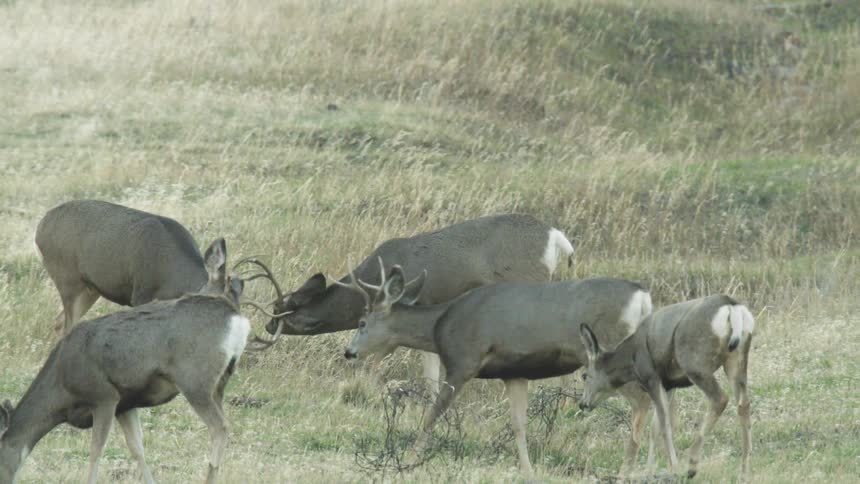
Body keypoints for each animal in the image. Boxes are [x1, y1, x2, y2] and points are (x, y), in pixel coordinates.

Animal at [0, 238, 286, 484]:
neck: (61, 388)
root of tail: (235, 316)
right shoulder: (125, 403)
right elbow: (137, 449)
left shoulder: (103, 396)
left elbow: (96, 451)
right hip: (220, 383)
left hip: (195, 380)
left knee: (220, 427)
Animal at [35, 200, 216, 335]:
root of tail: (39, 228)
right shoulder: (141, 295)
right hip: (67, 279)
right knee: (67, 327)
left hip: (90, 288)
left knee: (58, 323)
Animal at [337, 262, 654, 475]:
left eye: (362, 323)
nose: (349, 352)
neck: (440, 325)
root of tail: (642, 297)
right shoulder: (514, 373)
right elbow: (518, 424)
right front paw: (528, 471)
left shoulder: (463, 361)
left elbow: (432, 414)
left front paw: (408, 460)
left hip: (611, 358)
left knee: (643, 401)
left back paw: (627, 470)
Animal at [578, 295, 754, 480]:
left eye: (585, 376)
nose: (583, 403)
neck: (631, 358)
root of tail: (731, 307)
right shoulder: (669, 384)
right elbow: (655, 427)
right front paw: (649, 472)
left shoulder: (651, 377)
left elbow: (664, 423)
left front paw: (673, 468)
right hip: (736, 360)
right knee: (743, 405)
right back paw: (744, 473)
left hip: (695, 364)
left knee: (719, 399)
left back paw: (692, 465)